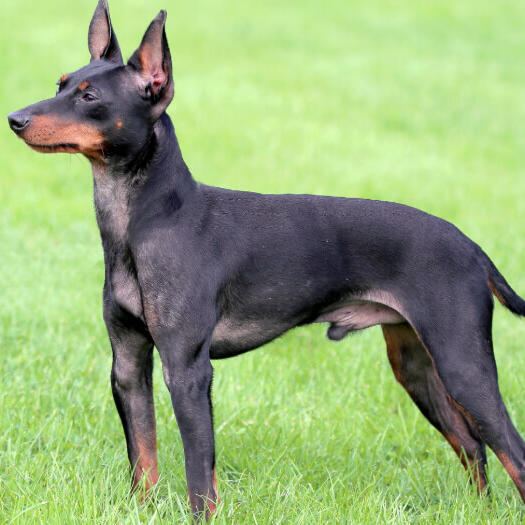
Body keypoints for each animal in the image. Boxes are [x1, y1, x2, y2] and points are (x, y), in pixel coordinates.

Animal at [8, 0, 524, 516]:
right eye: (60, 84)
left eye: (90, 96)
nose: (15, 118)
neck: (145, 221)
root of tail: (473, 248)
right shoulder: (129, 366)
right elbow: (144, 459)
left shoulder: (188, 371)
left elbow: (200, 474)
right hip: (416, 366)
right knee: (473, 446)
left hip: (463, 365)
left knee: (510, 450)